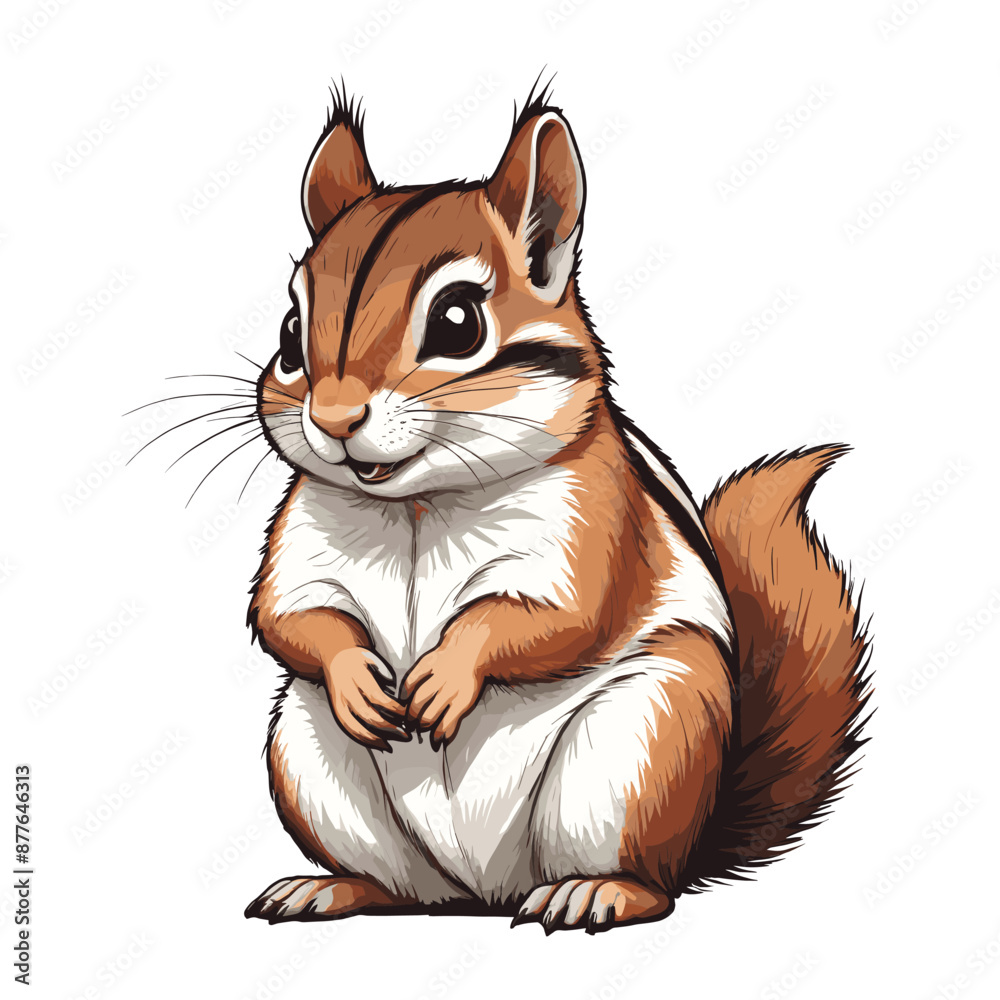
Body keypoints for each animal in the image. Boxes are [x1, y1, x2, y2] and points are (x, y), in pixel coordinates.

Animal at [243, 83, 872, 934]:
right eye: (289, 333)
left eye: (458, 322)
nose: (335, 418)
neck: (418, 507)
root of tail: (485, 890)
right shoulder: (300, 544)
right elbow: (291, 618)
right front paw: (356, 677)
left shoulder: (593, 527)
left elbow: (557, 617)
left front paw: (447, 674)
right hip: (308, 757)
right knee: (397, 885)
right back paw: (331, 888)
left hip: (643, 744)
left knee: (650, 879)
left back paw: (597, 892)